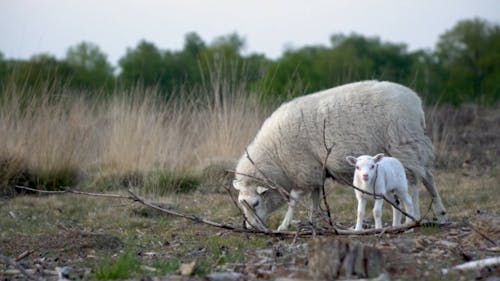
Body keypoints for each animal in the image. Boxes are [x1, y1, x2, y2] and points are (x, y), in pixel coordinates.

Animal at [232, 79, 448, 230]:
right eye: (242, 205)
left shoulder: (303, 170)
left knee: (413, 185)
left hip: (404, 145)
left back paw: (414, 217)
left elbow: (294, 201)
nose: (251, 228)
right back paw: (442, 214)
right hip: (411, 147)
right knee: (429, 178)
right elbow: (315, 199)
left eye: (256, 203)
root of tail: (416, 104)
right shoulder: (315, 170)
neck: (275, 155)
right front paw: (313, 221)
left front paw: (284, 225)